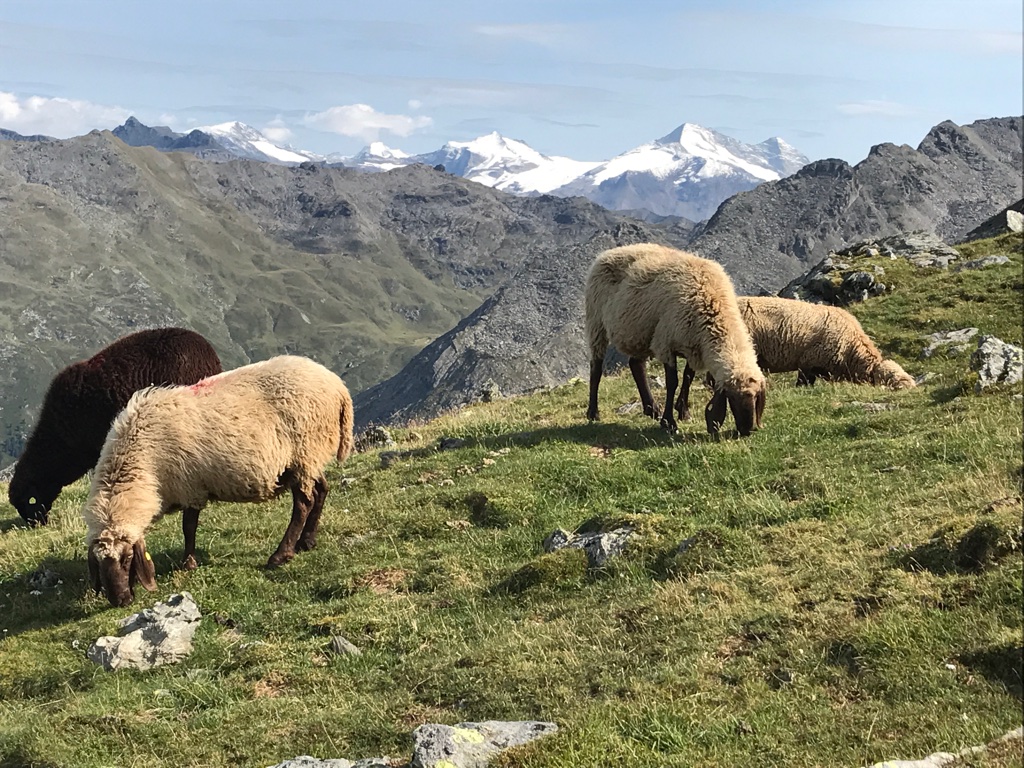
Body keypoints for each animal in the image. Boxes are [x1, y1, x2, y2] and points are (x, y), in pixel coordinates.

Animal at [79, 354, 354, 606]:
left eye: (127, 558)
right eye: (99, 564)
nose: (121, 601)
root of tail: (337, 386)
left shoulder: (190, 486)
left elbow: (188, 527)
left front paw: (188, 563)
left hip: (303, 452)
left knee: (303, 504)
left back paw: (281, 555)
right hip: (311, 457)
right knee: (321, 490)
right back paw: (307, 541)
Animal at [589, 244, 765, 438]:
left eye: (756, 397)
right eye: (731, 397)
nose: (746, 430)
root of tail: (610, 252)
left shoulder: (693, 346)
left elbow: (688, 377)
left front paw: (683, 411)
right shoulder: (666, 343)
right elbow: (672, 382)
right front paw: (669, 422)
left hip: (640, 333)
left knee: (636, 365)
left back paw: (651, 409)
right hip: (596, 322)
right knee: (596, 368)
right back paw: (593, 413)